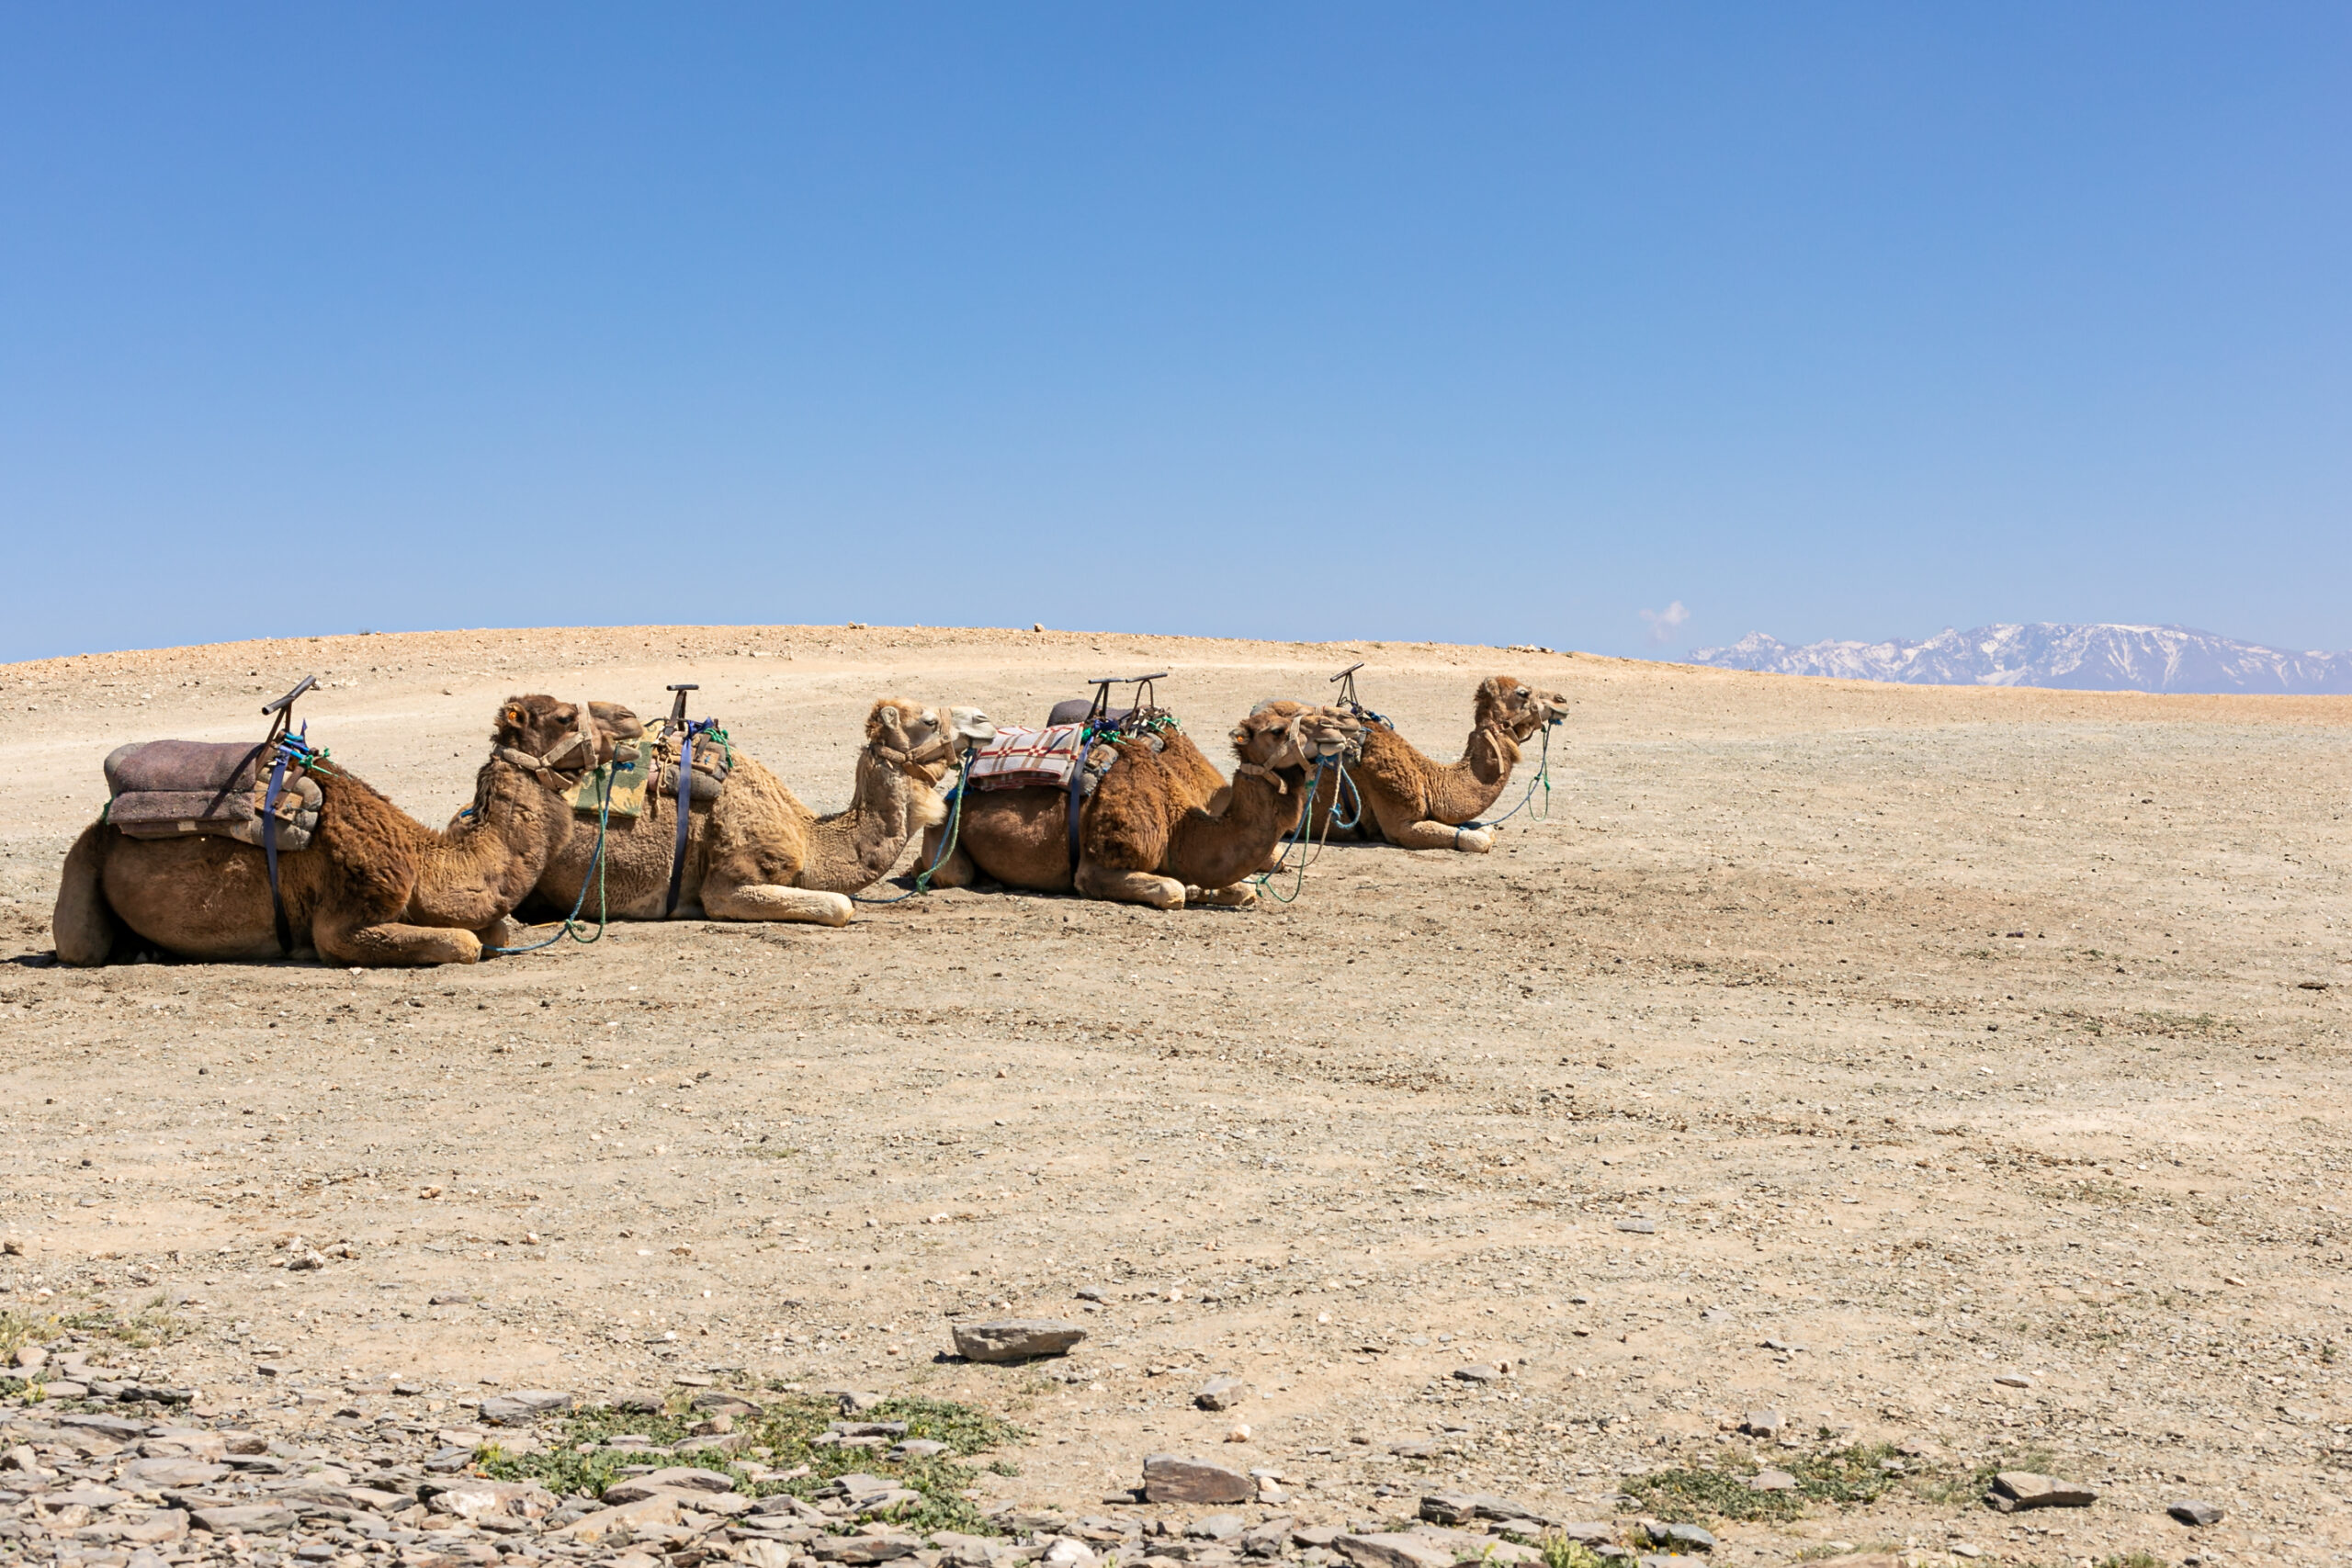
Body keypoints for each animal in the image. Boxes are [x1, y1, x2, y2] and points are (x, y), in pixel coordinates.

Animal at [59, 700, 620, 968]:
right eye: (566, 716)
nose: (627, 725)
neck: (427, 861)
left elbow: (496, 932)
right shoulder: (350, 913)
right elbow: (464, 943)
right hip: (81, 865)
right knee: (79, 947)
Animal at [917, 700, 1363, 907]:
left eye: (1307, 708)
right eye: (1275, 730)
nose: (1341, 726)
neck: (1179, 824)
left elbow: (1244, 890)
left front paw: (1210, 890)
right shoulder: (1096, 868)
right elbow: (1172, 890)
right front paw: (1191, 890)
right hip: (943, 834)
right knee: (948, 872)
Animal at [1317, 667, 1571, 851]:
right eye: (1522, 693)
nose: (1562, 700)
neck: (1429, 779)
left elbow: (1485, 829)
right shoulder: (1399, 822)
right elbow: (1479, 840)